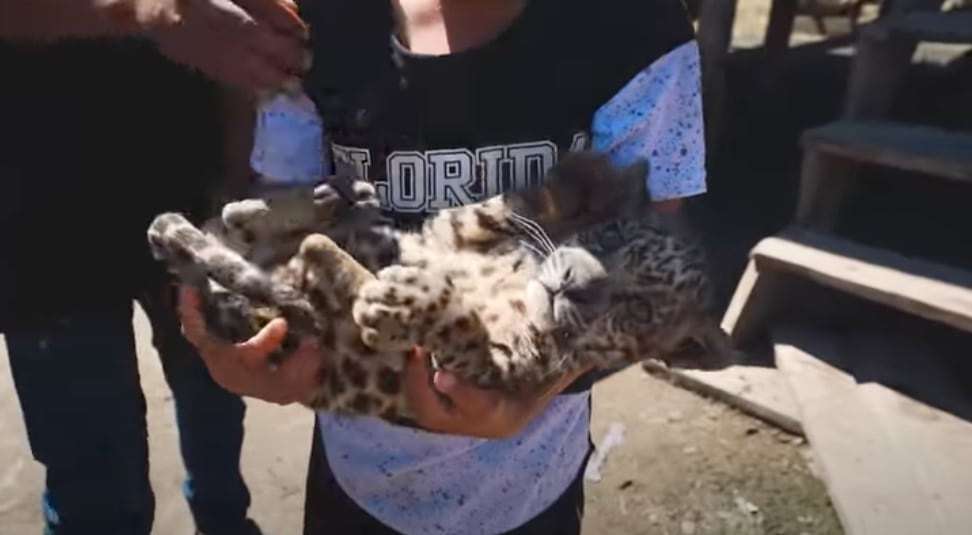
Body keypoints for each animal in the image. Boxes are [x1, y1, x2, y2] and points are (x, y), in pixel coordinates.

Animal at [147, 151, 736, 422]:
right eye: (611, 238)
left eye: (640, 309)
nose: (571, 284)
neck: (515, 279)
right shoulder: (443, 233)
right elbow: (501, 207)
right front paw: (588, 181)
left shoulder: (489, 374)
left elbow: (461, 326)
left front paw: (403, 299)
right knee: (241, 221)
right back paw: (321, 200)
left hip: (263, 312)